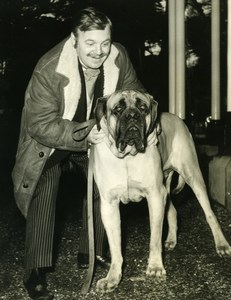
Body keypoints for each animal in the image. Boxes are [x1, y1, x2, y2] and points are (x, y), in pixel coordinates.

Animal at [92, 89, 231, 292]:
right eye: (118, 108)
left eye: (143, 107)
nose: (133, 116)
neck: (128, 158)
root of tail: (178, 118)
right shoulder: (109, 205)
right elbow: (115, 244)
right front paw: (113, 276)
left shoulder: (155, 196)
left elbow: (155, 238)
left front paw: (155, 267)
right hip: (166, 185)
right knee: (172, 211)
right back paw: (172, 239)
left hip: (193, 176)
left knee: (210, 214)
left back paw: (221, 245)